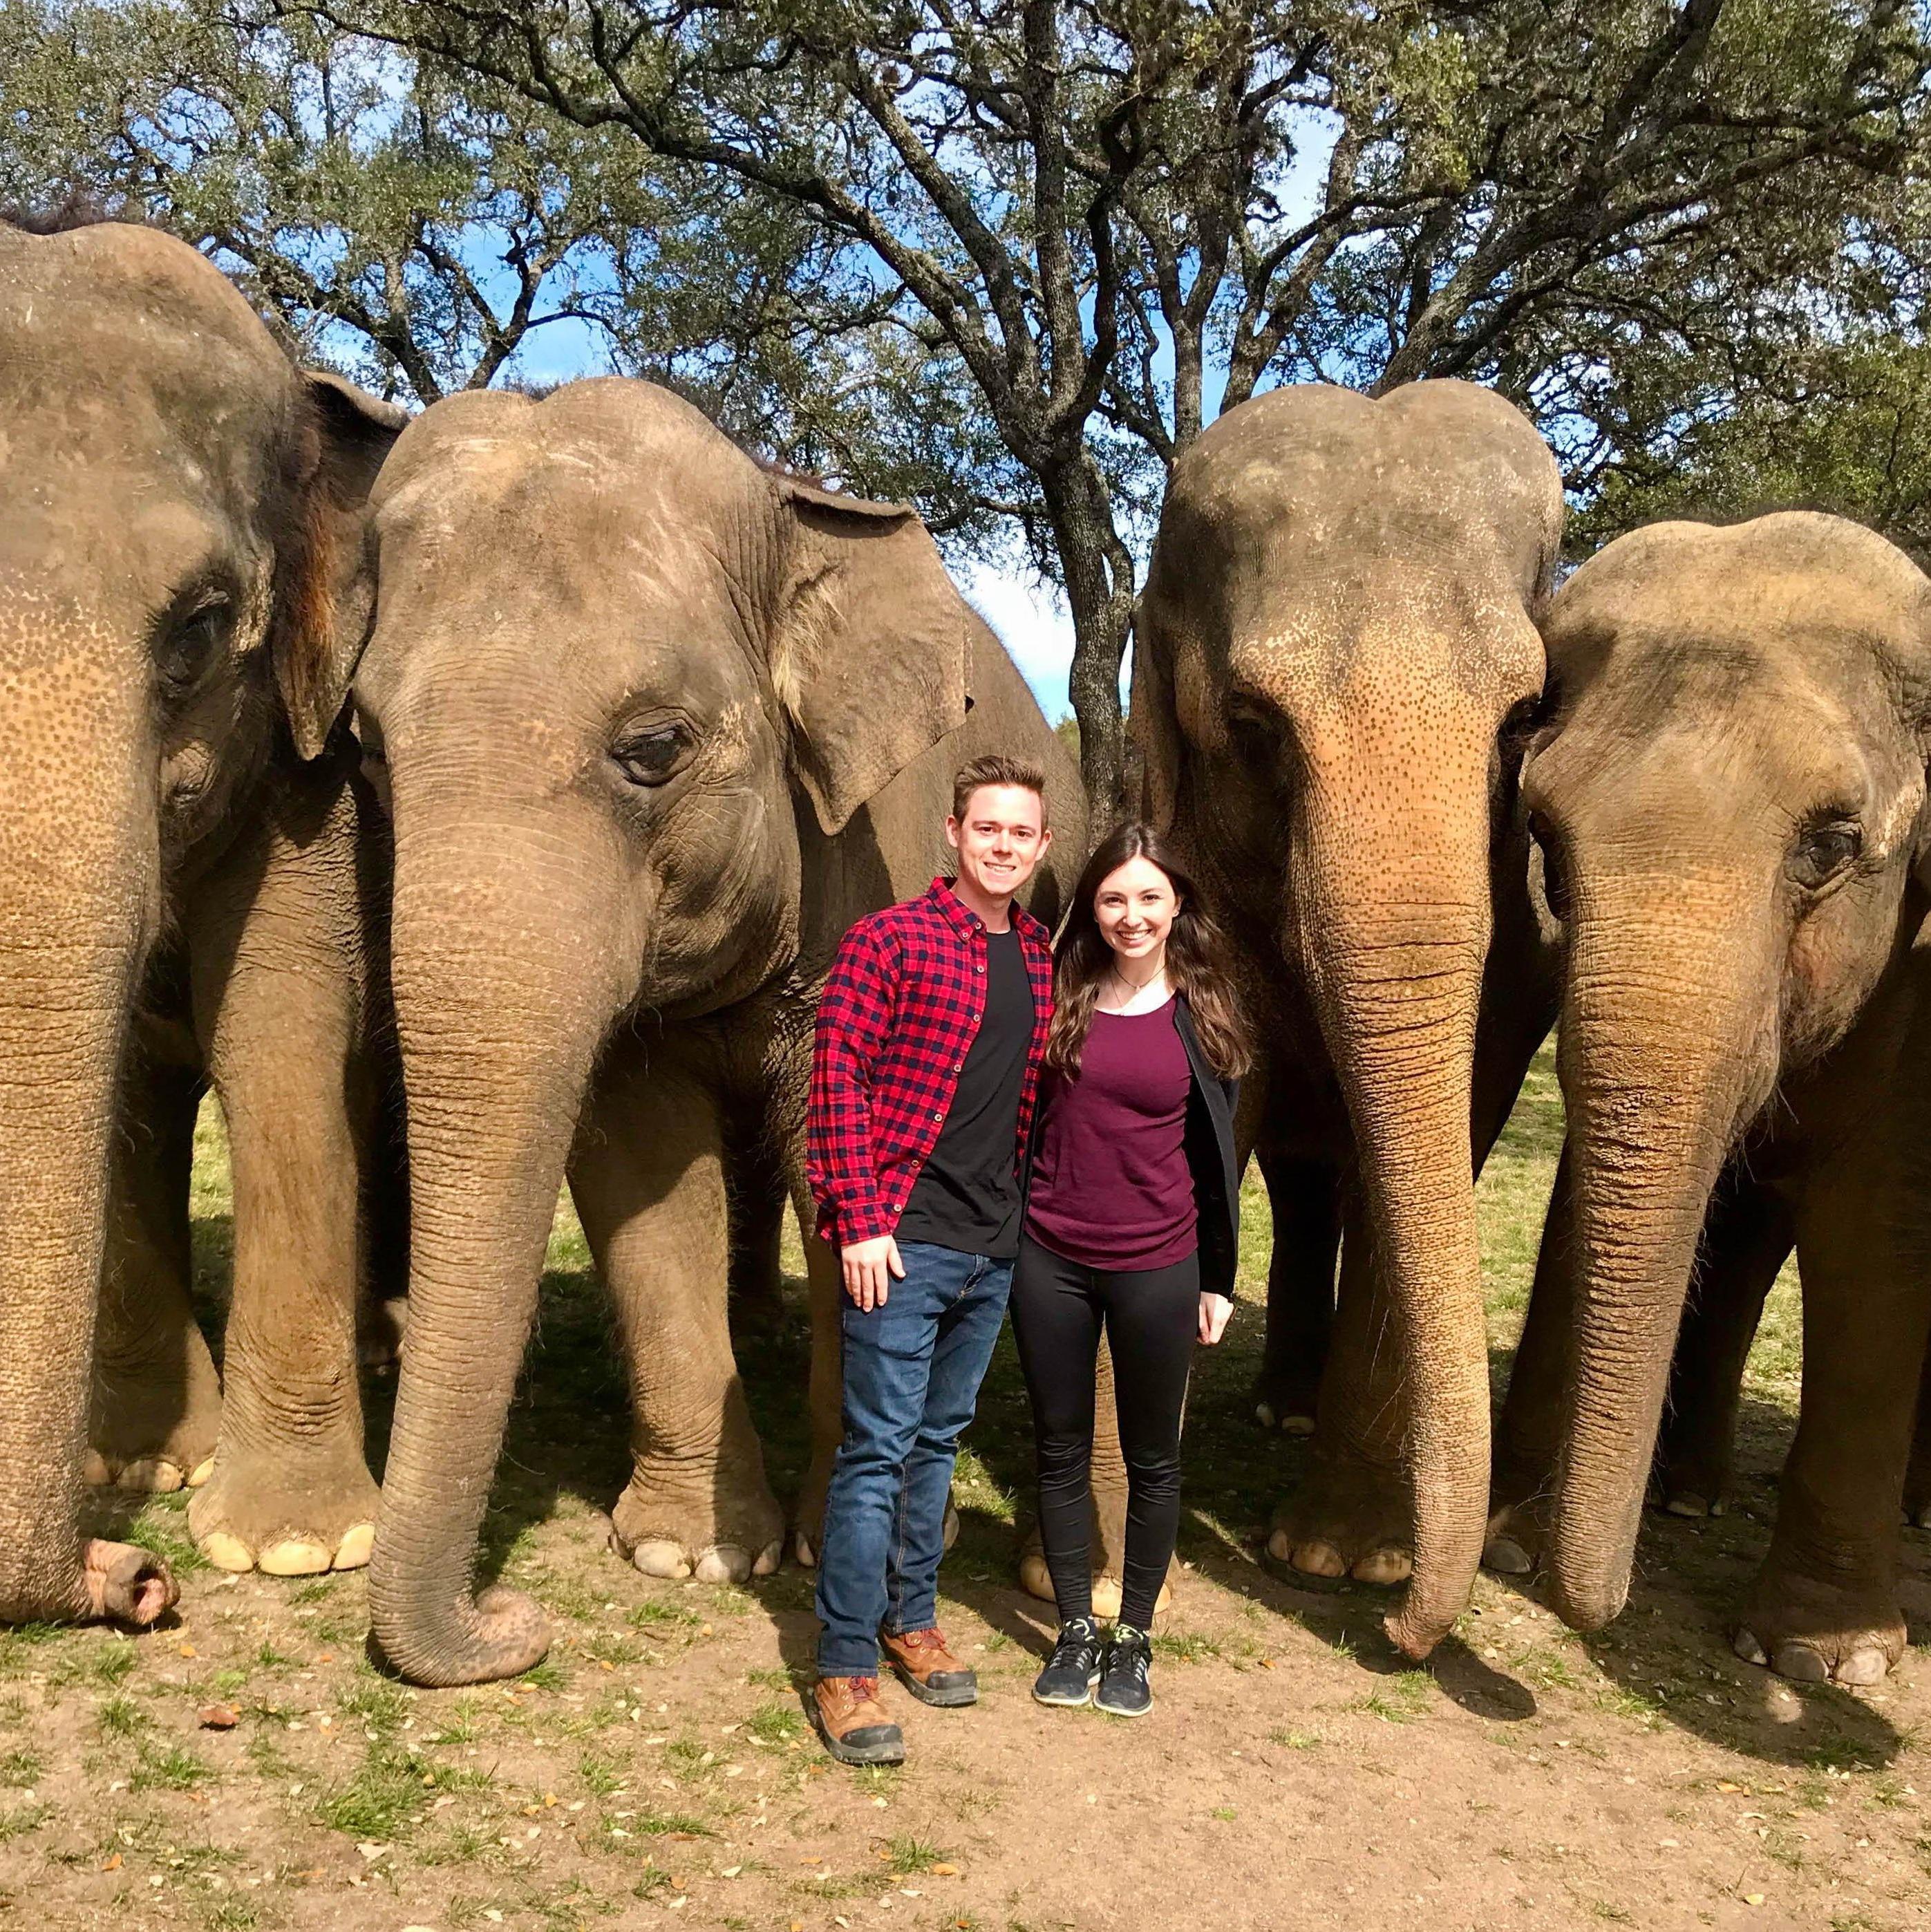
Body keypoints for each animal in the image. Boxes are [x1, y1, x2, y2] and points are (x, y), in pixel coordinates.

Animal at [0, 207, 407, 1615]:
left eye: (200, 627)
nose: (133, 1581)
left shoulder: (309, 769)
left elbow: (274, 1030)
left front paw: (291, 1545)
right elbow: (129, 1071)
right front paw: (136, 1468)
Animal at [343, 377, 1073, 1692]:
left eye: (654, 749)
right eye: (366, 745)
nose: (517, 1621)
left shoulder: (874, 853)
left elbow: (841, 1153)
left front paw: (851, 1529)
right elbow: (635, 1165)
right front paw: (696, 1554)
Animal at [1498, 509, 1931, 1677]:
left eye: (1830, 843)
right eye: (1542, 836)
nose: (1584, 1605)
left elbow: (1877, 1235)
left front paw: (1822, 1656)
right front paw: (1516, 1536)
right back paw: (1688, 1496)